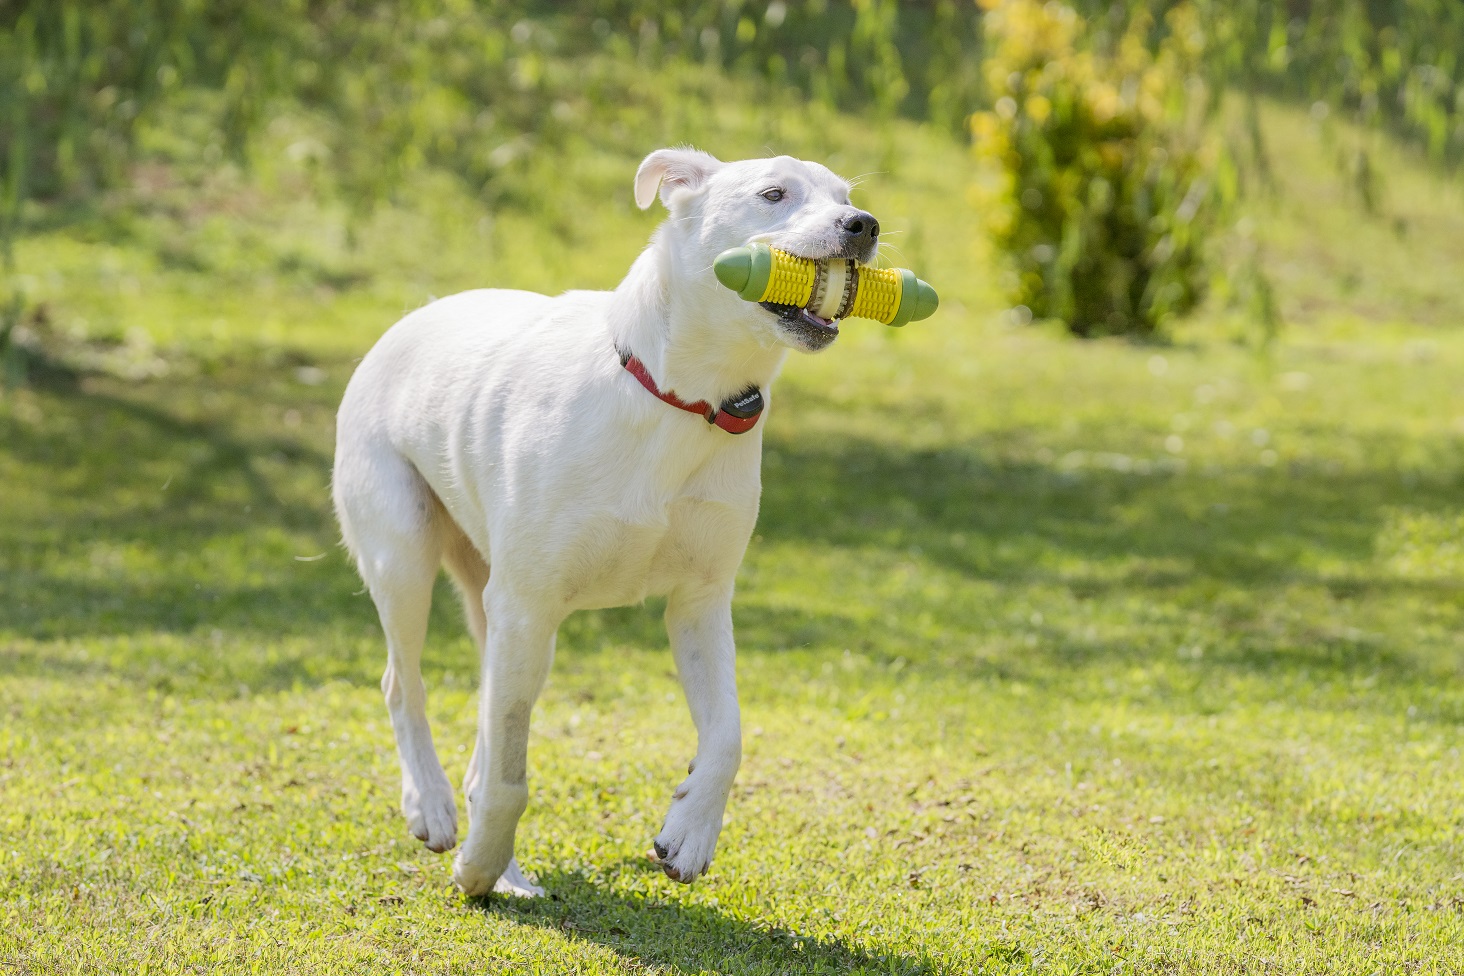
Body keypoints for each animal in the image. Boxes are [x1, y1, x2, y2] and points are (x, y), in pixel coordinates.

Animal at [332, 149, 878, 895]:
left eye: (847, 196)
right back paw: (438, 811)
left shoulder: (700, 603)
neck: (681, 400)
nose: (864, 225)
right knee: (403, 684)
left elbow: (729, 735)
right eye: (774, 194)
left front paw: (690, 830)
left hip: (506, 617)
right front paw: (478, 865)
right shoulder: (527, 605)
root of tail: (410, 320)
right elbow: (510, 776)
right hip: (406, 557)